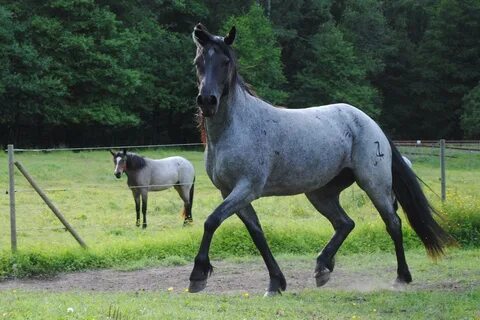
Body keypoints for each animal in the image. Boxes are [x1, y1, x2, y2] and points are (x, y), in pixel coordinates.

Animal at [189, 23, 452, 296]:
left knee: (393, 223)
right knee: (345, 223)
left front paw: (198, 275)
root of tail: (370, 123)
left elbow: (212, 221)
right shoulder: (229, 191)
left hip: (374, 184)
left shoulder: (247, 188)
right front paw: (275, 282)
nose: (207, 100)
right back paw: (323, 267)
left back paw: (401, 276)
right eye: (199, 61)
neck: (235, 127)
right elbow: (257, 233)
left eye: (225, 62)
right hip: (320, 193)